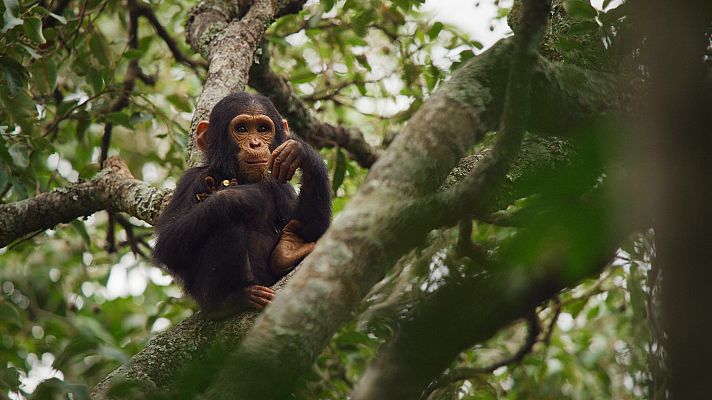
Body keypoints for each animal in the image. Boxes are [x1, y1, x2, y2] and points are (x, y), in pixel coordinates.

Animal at [153, 91, 330, 318]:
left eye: (262, 129)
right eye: (242, 129)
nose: (255, 144)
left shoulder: (279, 184)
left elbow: (312, 230)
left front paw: (300, 151)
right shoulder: (192, 180)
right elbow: (168, 243)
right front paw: (241, 196)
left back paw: (288, 250)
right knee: (227, 223)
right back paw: (228, 301)